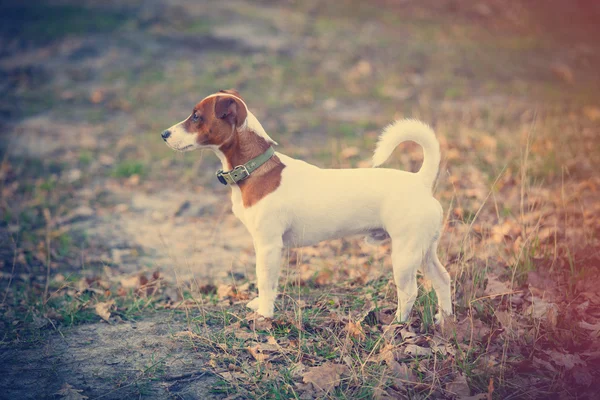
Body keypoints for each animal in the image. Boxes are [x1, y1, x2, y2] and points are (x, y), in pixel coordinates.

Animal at [162, 89, 452, 324]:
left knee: (410, 291)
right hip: (424, 251)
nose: (164, 134)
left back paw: (397, 324)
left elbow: (265, 281)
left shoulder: (268, 246)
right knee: (442, 279)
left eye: (196, 116)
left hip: (404, 254)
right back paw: (444, 319)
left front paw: (265, 314)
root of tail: (420, 181)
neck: (256, 169)